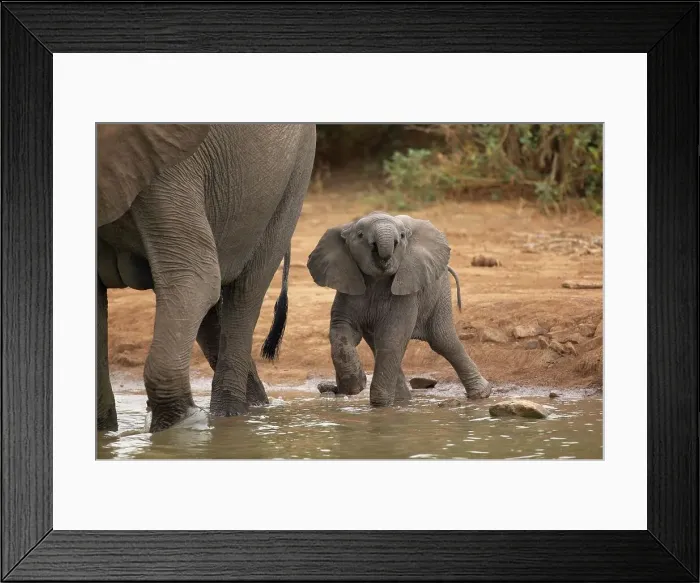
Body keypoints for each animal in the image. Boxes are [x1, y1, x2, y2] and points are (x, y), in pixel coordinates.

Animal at [97, 123, 316, 433]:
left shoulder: (166, 166)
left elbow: (195, 278)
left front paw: (184, 426)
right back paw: (255, 409)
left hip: (294, 173)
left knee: (245, 292)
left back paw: (231, 416)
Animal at [306, 211, 491, 406]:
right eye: (360, 235)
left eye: (402, 237)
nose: (386, 253)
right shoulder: (348, 285)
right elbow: (341, 330)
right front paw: (356, 386)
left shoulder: (406, 292)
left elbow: (392, 337)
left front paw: (380, 406)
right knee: (378, 344)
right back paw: (403, 401)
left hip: (439, 291)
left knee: (443, 340)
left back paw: (481, 395)